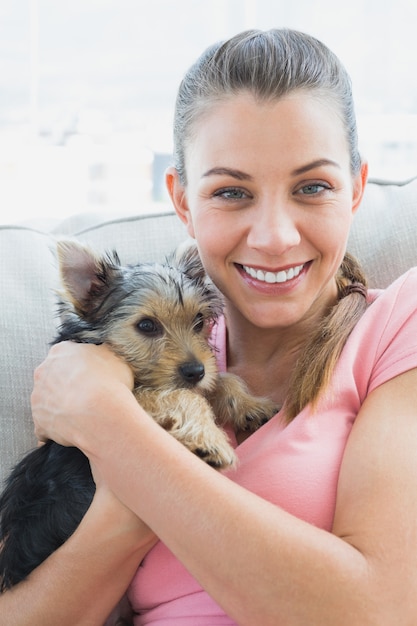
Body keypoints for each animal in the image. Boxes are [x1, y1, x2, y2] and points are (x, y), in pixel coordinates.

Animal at [0, 239, 276, 620]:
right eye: (147, 326)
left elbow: (220, 381)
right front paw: (208, 441)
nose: (196, 370)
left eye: (199, 321)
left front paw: (250, 405)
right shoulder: (134, 395)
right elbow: (181, 395)